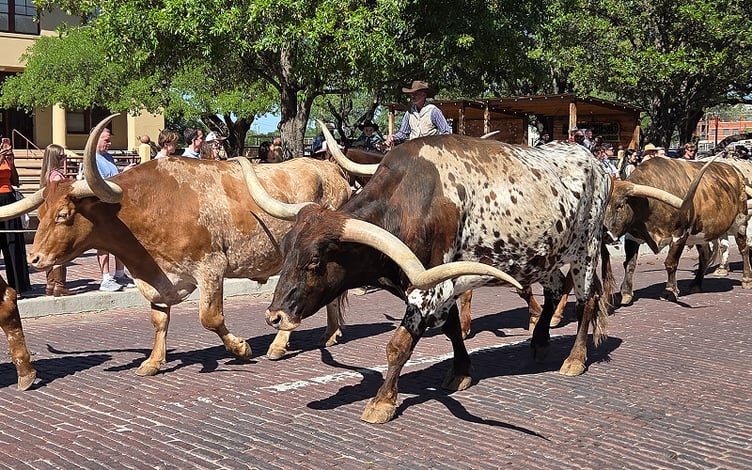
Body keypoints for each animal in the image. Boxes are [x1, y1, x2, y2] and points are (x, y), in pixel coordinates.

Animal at [8, 115, 352, 377]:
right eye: (40, 215)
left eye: (63, 215)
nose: (34, 258)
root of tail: (331, 170)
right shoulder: (158, 278)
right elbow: (159, 319)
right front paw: (153, 361)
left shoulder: (210, 267)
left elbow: (210, 317)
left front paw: (241, 348)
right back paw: (331, 332)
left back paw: (280, 345)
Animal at [241, 123, 615, 424]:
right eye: (287, 248)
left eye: (315, 260)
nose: (274, 317)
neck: (409, 203)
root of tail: (595, 162)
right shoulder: (440, 285)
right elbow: (451, 330)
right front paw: (461, 372)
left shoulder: (429, 289)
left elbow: (398, 345)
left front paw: (382, 402)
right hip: (543, 256)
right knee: (555, 289)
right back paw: (538, 342)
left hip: (585, 249)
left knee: (587, 300)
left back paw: (575, 358)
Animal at [604, 156, 750, 305]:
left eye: (620, 205)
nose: (605, 235)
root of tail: (734, 170)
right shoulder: (632, 236)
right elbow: (629, 264)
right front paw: (626, 293)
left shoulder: (679, 235)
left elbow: (670, 263)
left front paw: (670, 291)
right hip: (701, 236)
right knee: (705, 256)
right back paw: (696, 284)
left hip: (740, 221)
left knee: (743, 249)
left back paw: (746, 279)